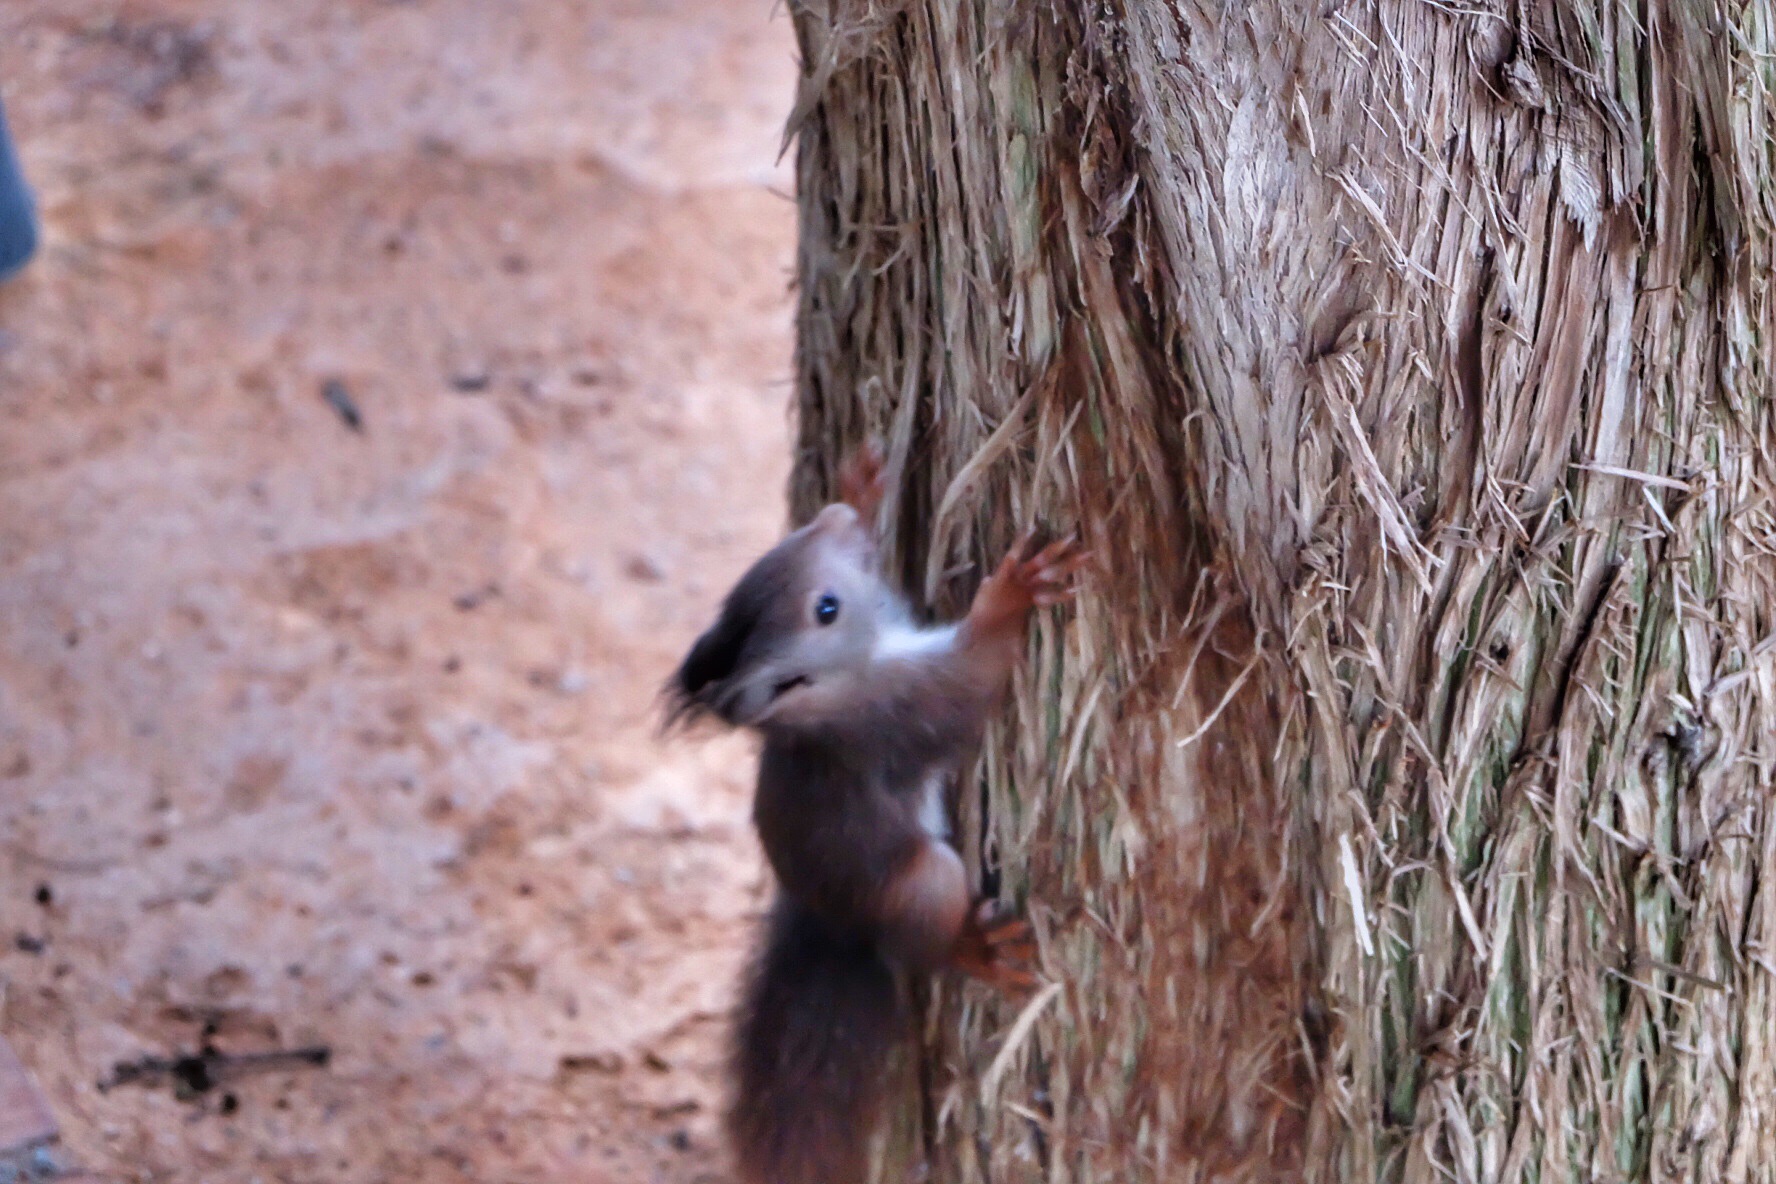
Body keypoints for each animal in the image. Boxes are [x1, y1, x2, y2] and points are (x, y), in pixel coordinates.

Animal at [667, 447, 1079, 1184]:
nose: (833, 518)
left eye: (781, 550)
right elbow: (973, 676)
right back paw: (977, 948)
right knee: (929, 944)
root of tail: (843, 926)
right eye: (825, 609)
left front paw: (859, 492)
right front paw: (1010, 595)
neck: (832, 698)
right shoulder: (900, 714)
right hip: (922, 879)